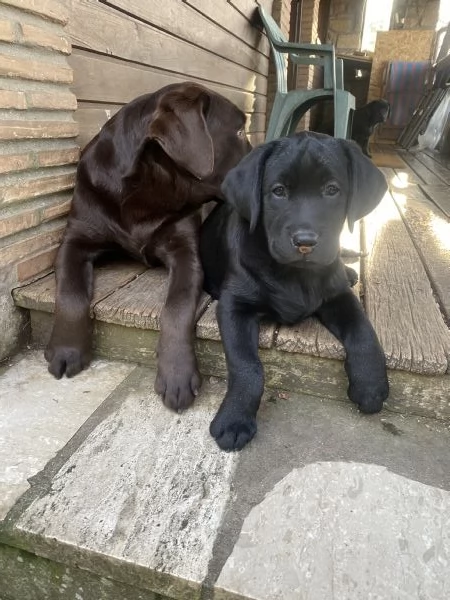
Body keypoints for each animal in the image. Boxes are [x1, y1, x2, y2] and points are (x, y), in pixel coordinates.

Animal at [199, 131, 388, 450]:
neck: (295, 274)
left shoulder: (338, 297)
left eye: (332, 190)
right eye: (278, 191)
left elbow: (364, 331)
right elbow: (247, 366)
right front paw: (235, 419)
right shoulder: (233, 305)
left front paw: (372, 384)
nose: (305, 241)